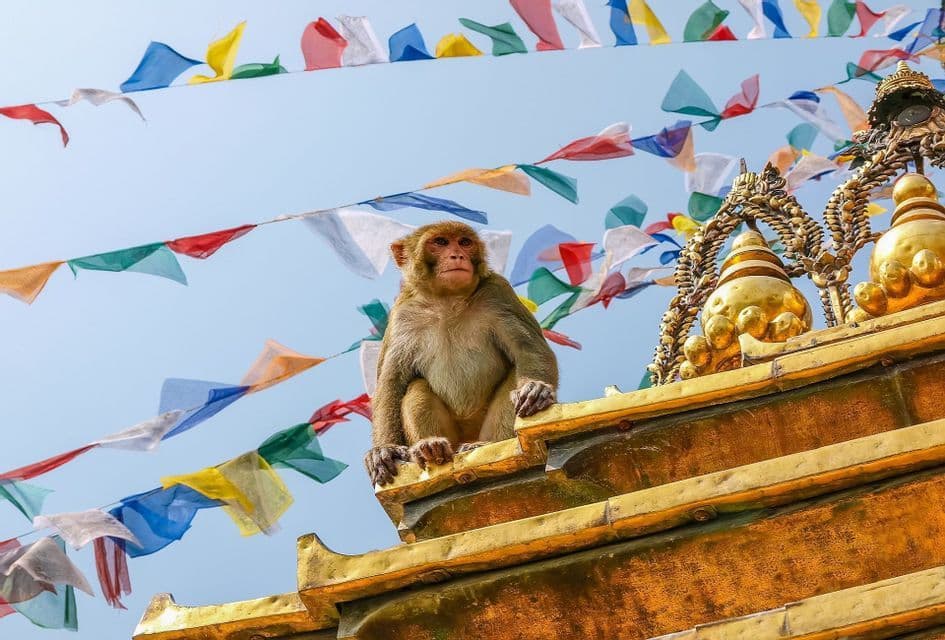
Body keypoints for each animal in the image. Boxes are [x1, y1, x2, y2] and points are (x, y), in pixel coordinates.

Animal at [364, 221, 559, 486]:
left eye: (464, 242)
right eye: (441, 242)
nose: (457, 255)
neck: (447, 300)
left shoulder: (498, 292)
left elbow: (528, 348)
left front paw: (536, 389)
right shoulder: (402, 316)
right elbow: (391, 382)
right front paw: (385, 450)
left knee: (513, 379)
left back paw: (483, 444)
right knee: (416, 386)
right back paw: (431, 448)